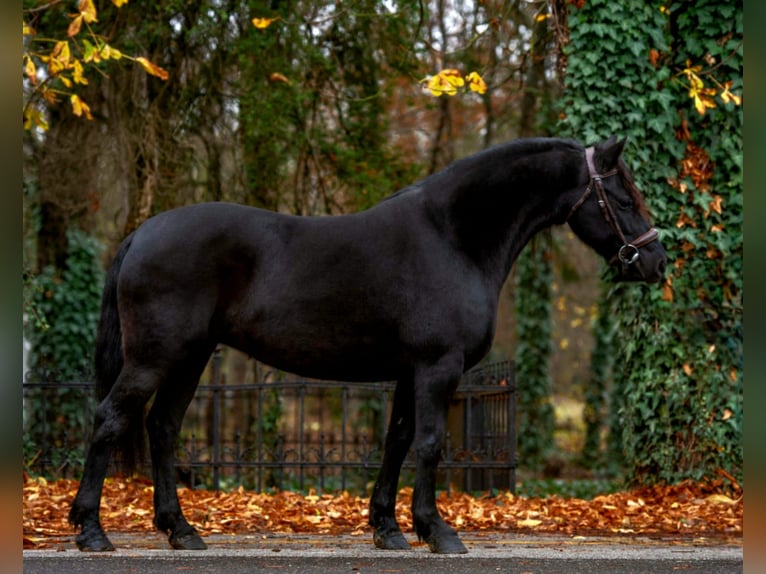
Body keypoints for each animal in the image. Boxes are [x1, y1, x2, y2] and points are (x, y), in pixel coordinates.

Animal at [69, 135, 667, 553]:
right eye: (621, 197)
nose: (656, 262)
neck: (452, 237)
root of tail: (142, 233)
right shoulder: (438, 367)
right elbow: (429, 444)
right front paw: (437, 532)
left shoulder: (410, 371)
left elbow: (396, 441)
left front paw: (388, 529)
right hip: (156, 356)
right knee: (110, 419)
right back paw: (92, 531)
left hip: (189, 358)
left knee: (162, 428)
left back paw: (181, 530)